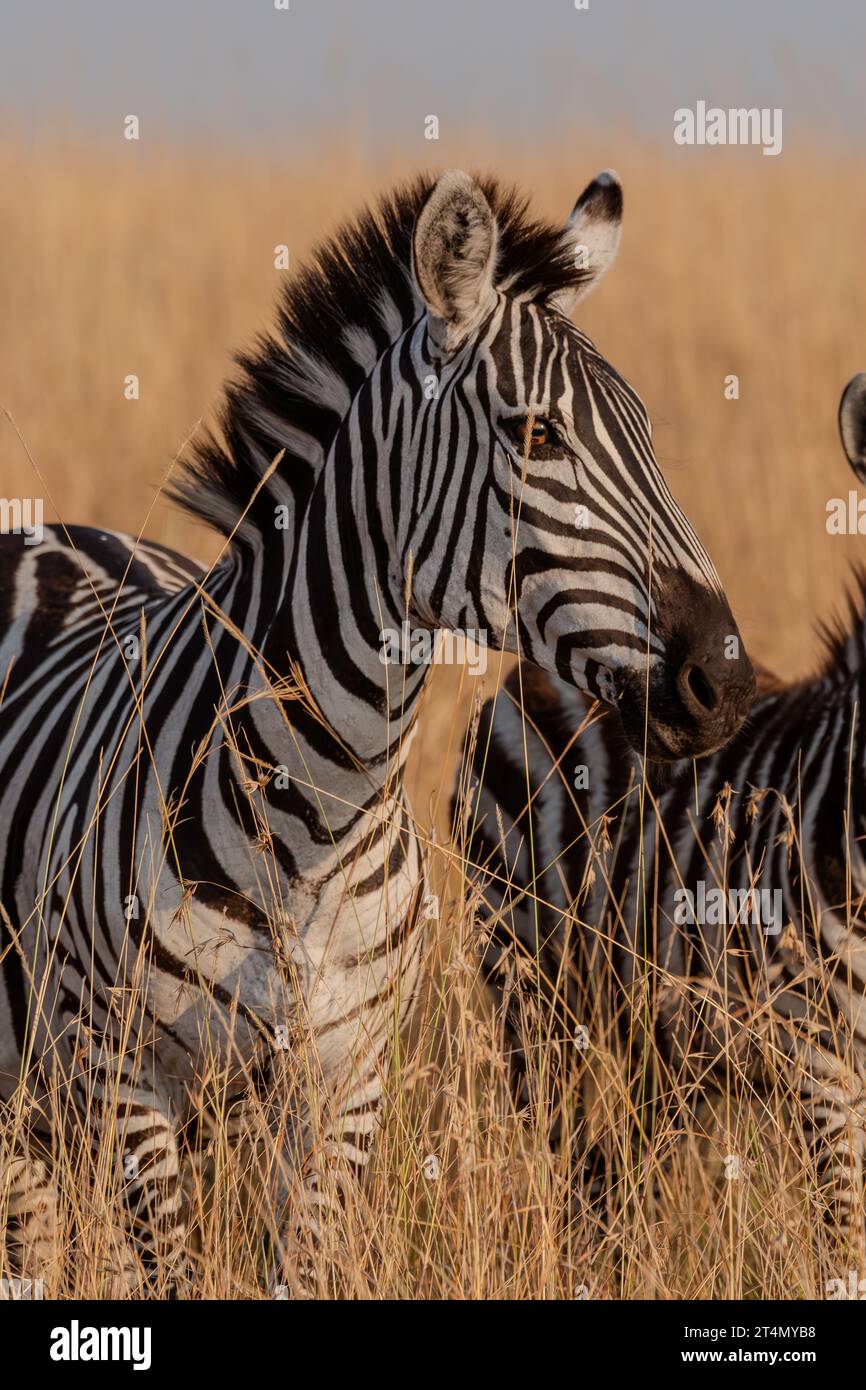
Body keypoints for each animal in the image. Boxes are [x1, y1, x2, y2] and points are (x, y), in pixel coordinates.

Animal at [1, 168, 750, 1284]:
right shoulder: (128, 1082)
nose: (724, 678)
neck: (316, 808)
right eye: (537, 435)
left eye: (650, 438)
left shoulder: (342, 1088)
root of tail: (44, 530)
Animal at [464, 375, 866, 1267]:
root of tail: (534, 670)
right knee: (566, 1160)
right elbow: (846, 1243)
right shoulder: (820, 1065)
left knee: (619, 1181)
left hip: (659, 1039)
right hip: (528, 981)